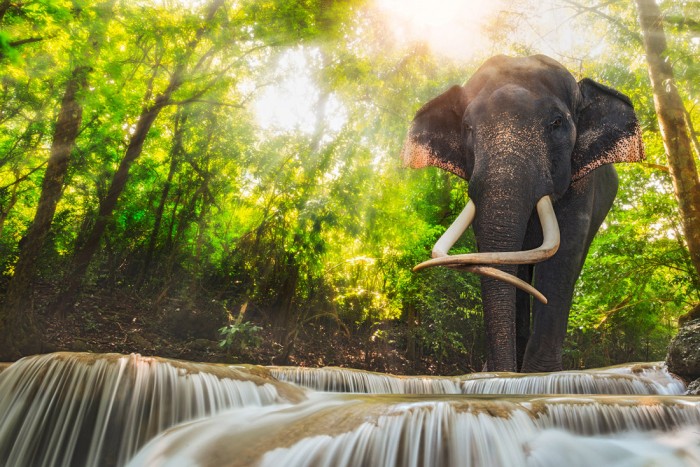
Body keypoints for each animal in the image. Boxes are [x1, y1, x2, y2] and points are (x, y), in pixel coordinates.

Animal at [401, 55, 645, 373]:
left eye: (557, 122)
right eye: (467, 127)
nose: (496, 371)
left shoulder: (581, 184)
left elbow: (561, 258)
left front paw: (540, 375)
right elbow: (501, 260)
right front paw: (503, 373)